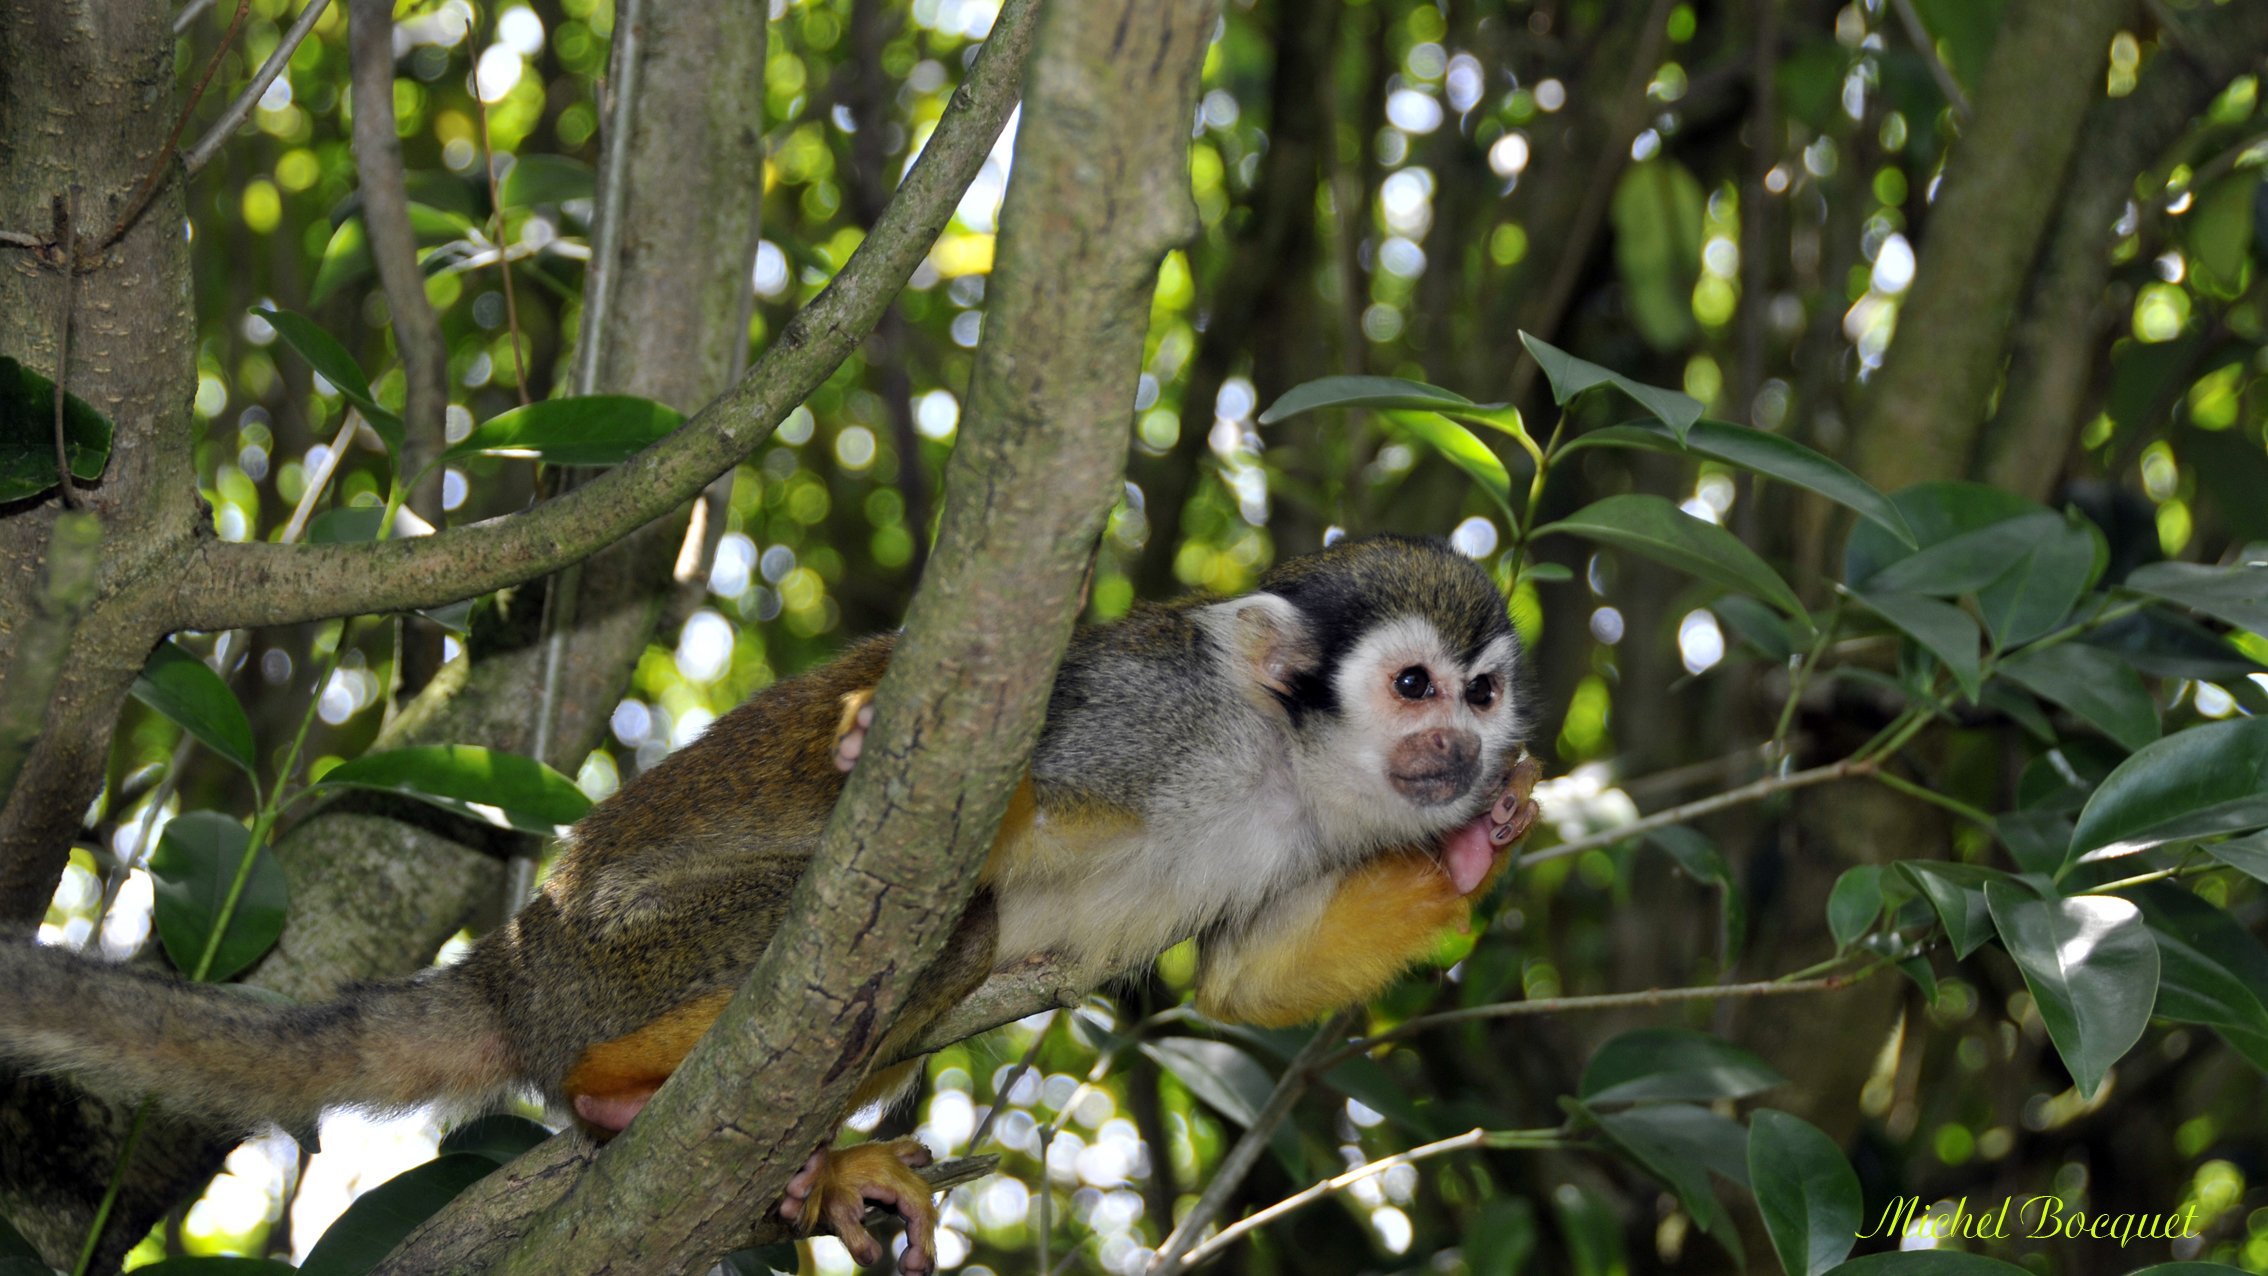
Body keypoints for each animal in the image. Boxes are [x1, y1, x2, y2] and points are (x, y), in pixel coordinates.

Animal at [0, 534, 1542, 1269]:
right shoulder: (1150, 712)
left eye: (1480, 695)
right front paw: (860, 736)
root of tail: (517, 961)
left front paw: (1476, 853)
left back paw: (814, 1167)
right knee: (944, 922)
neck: (1280, 766)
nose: (1458, 750)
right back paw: (616, 1093)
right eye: (1412, 685)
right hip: (618, 950)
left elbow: (1241, 980)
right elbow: (996, 773)